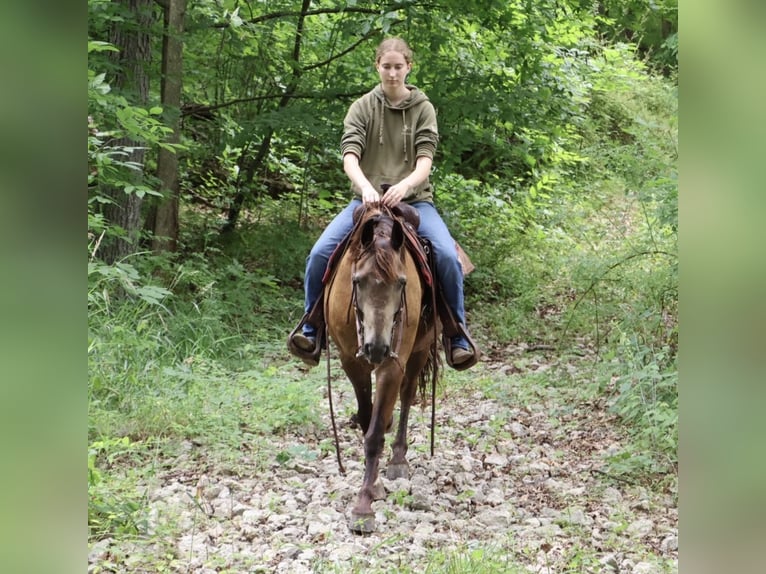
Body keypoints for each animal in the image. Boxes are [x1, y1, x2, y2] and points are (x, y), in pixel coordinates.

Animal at [324, 203, 440, 533]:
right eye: (357, 281)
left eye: (401, 283)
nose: (376, 348)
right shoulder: (350, 360)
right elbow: (367, 419)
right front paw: (372, 487)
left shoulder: (392, 365)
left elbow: (375, 435)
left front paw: (363, 506)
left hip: (419, 351)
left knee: (407, 394)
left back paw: (398, 459)